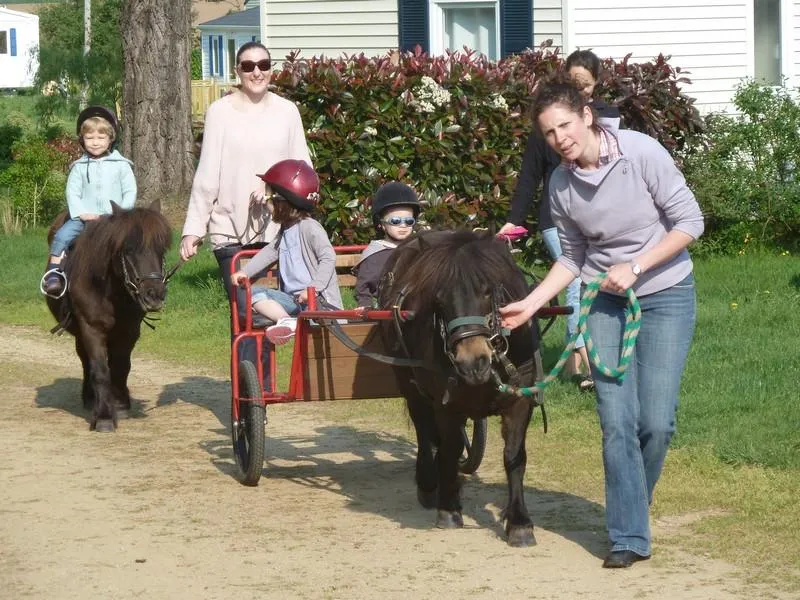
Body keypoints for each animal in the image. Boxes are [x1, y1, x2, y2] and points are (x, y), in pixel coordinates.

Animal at [47, 200, 172, 432]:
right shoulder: (91, 328)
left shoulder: (129, 331)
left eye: (161, 249)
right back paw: (90, 399)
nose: (154, 295)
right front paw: (104, 417)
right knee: (86, 362)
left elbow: (121, 366)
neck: (110, 291)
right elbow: (100, 370)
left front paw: (120, 405)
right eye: (128, 249)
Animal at [378, 231, 540, 548]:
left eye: (487, 291)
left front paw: (519, 522)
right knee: (426, 433)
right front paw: (449, 508)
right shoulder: (445, 403)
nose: (472, 361)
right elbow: (450, 448)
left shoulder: (520, 399)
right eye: (438, 298)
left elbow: (514, 456)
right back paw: (430, 483)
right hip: (412, 388)